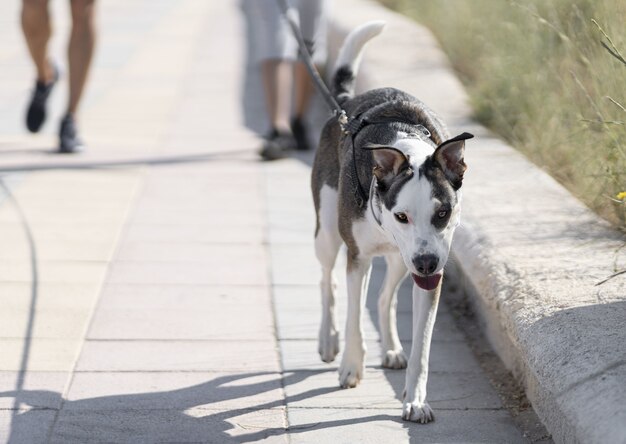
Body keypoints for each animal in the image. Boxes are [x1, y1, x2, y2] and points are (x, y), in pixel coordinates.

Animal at [310, 21, 470, 424]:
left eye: (443, 213)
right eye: (402, 215)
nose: (427, 263)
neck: (406, 147)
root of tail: (344, 105)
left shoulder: (431, 271)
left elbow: (423, 347)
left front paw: (415, 400)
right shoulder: (358, 258)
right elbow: (354, 315)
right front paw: (351, 367)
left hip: (401, 258)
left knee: (385, 298)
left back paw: (393, 349)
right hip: (328, 230)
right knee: (327, 279)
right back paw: (328, 339)